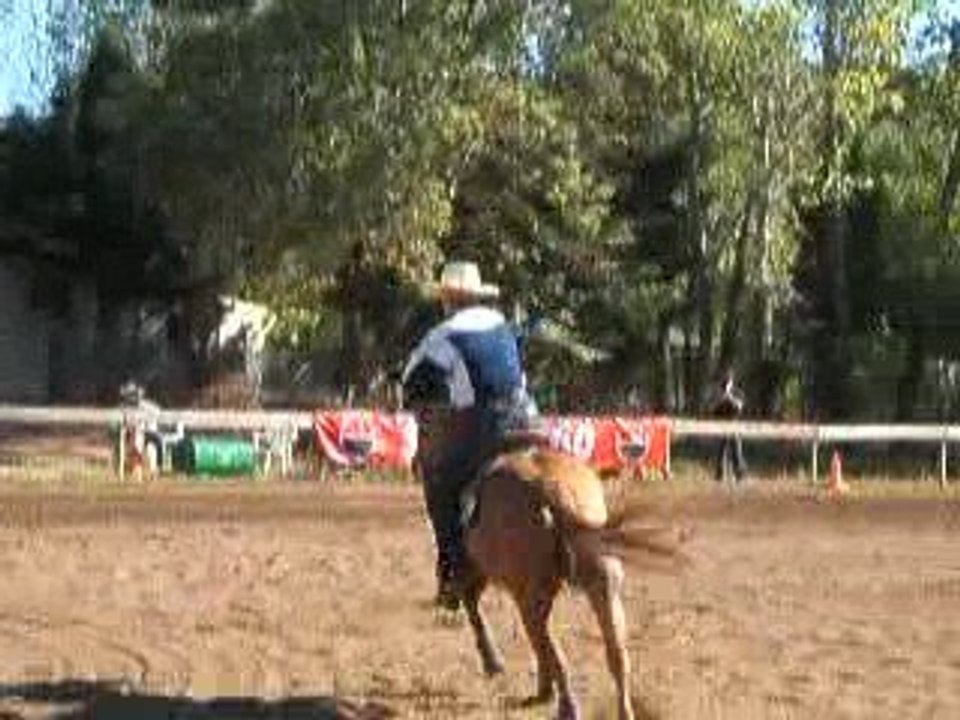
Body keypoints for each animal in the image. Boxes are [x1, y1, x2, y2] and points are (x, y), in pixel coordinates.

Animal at [413, 406, 687, 720]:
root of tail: (552, 492)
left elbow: (479, 612)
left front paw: (494, 662)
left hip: (528, 594)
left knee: (548, 645)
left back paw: (565, 704)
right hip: (602, 583)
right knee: (615, 652)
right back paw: (618, 708)